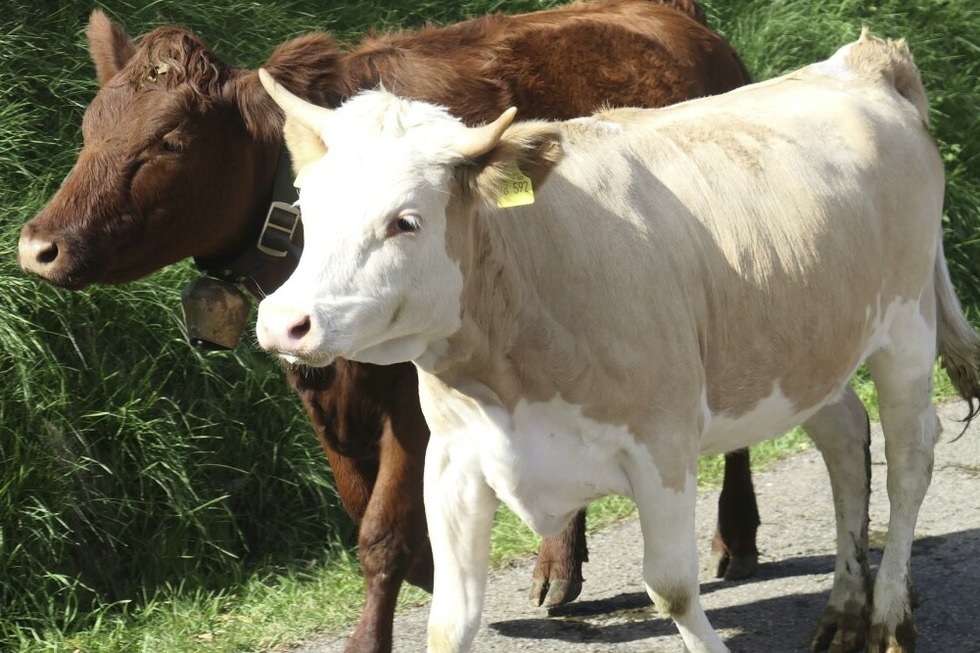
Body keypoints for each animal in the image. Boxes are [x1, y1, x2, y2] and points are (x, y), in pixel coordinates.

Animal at [17, 2, 764, 648]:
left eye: (170, 141)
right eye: (88, 128)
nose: (38, 246)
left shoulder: (414, 393)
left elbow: (381, 530)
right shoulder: (323, 389)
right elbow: (366, 507)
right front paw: (436, 571)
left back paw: (734, 537)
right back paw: (558, 564)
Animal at [255, 31, 980, 652]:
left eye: (406, 221)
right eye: (306, 209)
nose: (284, 321)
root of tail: (861, 63)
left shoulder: (662, 445)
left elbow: (673, 588)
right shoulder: (454, 459)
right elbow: (451, 619)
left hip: (905, 326)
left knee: (910, 457)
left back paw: (887, 615)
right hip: (806, 348)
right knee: (846, 442)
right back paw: (844, 609)